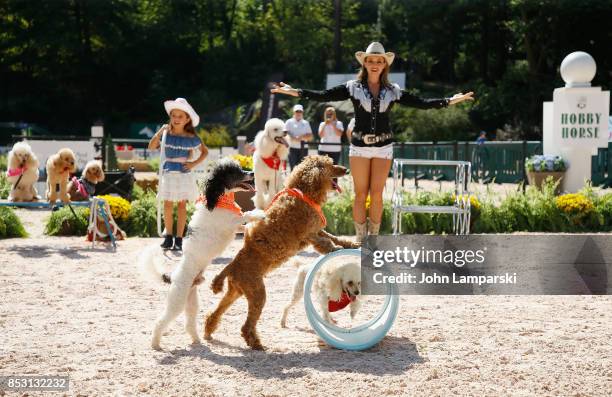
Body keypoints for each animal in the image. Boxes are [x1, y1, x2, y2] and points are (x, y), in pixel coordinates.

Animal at [206, 155, 358, 350]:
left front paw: (351, 244)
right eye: (330, 165)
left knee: (215, 313)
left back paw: (209, 332)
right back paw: (256, 344)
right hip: (257, 294)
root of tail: (232, 266)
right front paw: (336, 250)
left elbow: (334, 237)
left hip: (235, 292)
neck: (304, 192)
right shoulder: (308, 234)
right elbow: (326, 244)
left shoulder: (316, 230)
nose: (346, 170)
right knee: (246, 326)